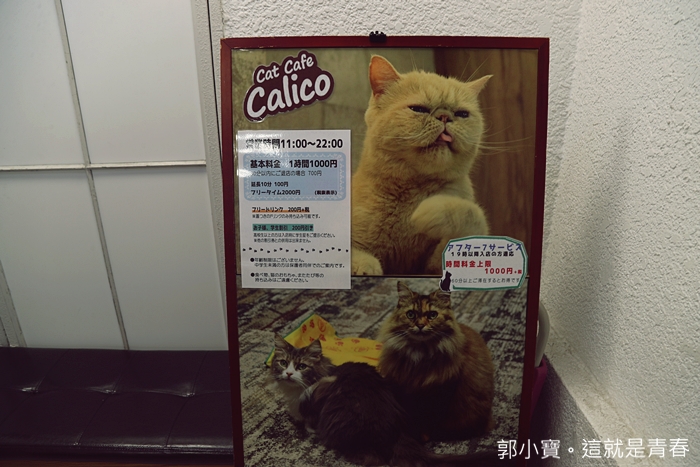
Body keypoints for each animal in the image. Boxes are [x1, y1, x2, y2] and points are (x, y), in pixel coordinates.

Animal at [271, 334, 503, 467]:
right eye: (282, 363)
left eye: (301, 366)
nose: (288, 374)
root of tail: (397, 434)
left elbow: (309, 417)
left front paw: (309, 428)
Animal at [352, 55, 491, 276]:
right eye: (418, 109)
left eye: (462, 114)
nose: (444, 116)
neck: (414, 189)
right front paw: (365, 265)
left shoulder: (433, 266)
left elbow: (472, 214)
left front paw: (429, 210)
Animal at [377, 282, 495, 441]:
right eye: (411, 314)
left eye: (432, 315)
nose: (420, 325)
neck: (419, 354)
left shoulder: (439, 394)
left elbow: (427, 421)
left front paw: (422, 437)